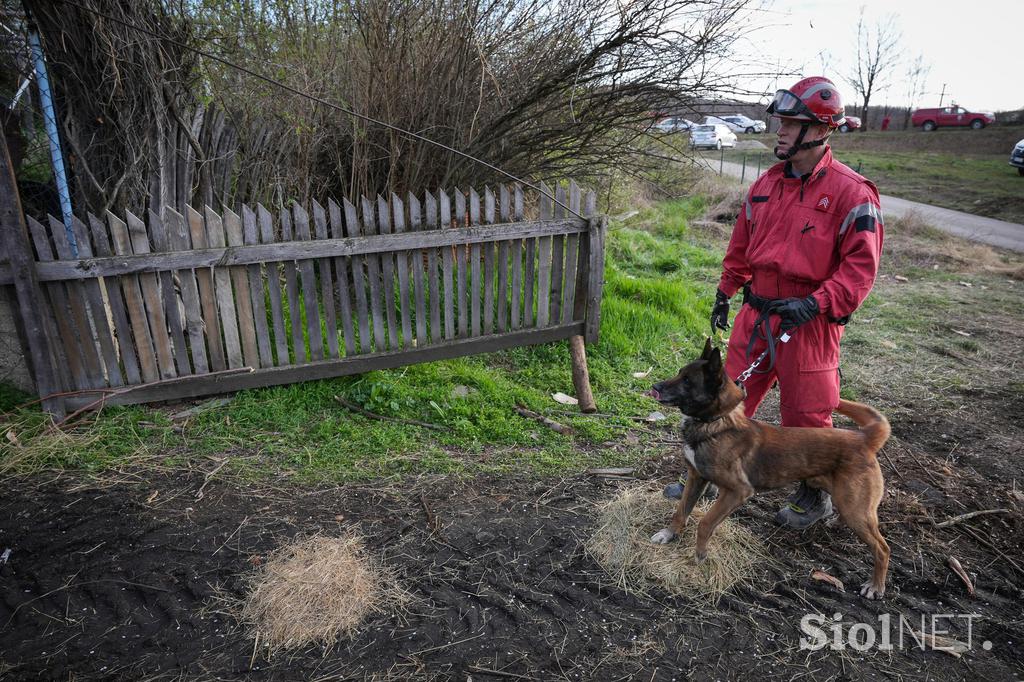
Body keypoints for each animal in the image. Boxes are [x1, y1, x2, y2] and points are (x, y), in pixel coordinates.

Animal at [651, 337, 892, 598]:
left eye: (687, 381)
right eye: (679, 373)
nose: (655, 386)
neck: (715, 423)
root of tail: (863, 438)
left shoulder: (737, 492)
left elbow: (705, 523)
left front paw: (700, 555)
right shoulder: (696, 478)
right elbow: (680, 511)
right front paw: (669, 534)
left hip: (855, 508)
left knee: (882, 548)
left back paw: (876, 585)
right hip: (848, 502)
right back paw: (838, 523)